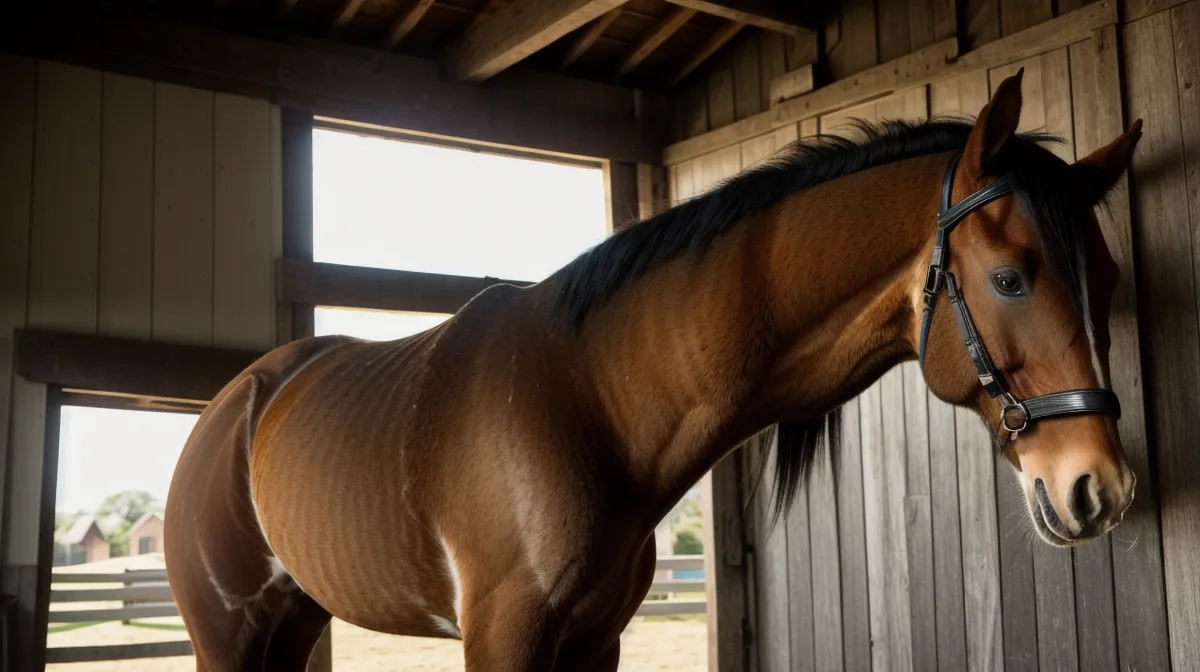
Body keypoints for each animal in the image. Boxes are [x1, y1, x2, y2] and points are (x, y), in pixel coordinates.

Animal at [163, 69, 1143, 671]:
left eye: (1109, 279)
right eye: (1011, 277)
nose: (1100, 488)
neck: (585, 396)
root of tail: (239, 402)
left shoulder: (594, 641)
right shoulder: (503, 637)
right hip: (225, 635)